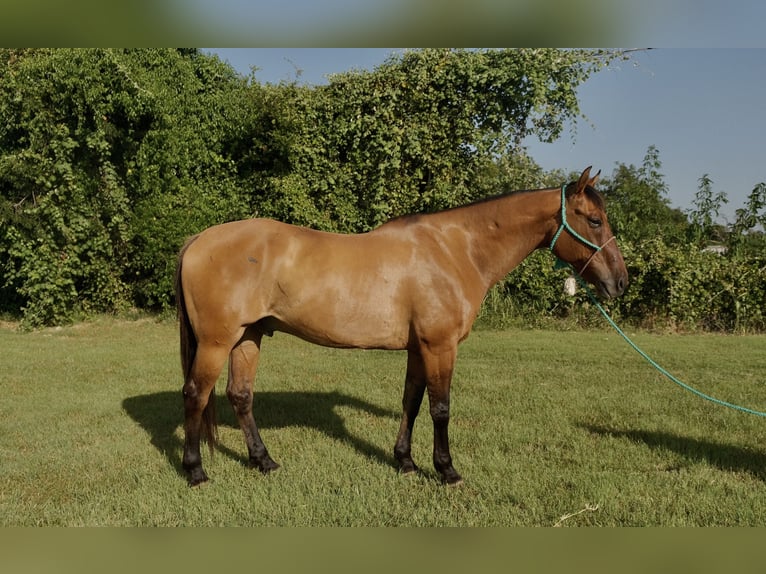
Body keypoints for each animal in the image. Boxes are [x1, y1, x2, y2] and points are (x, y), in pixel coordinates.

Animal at [177, 165, 628, 486]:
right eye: (593, 220)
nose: (620, 282)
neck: (455, 250)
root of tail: (199, 239)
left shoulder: (418, 348)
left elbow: (411, 401)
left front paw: (406, 461)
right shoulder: (440, 345)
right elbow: (441, 408)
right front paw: (446, 470)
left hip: (248, 336)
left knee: (240, 396)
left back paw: (264, 461)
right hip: (217, 342)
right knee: (196, 395)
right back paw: (196, 471)